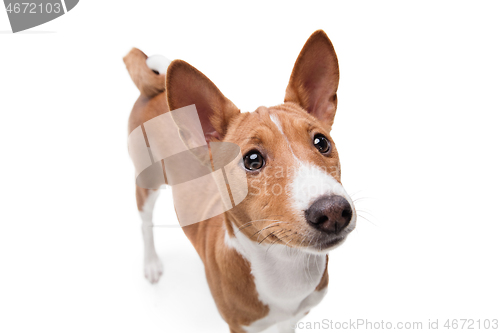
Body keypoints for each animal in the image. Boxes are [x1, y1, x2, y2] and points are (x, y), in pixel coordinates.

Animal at [124, 29, 356, 332]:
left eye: (321, 142)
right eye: (253, 160)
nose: (333, 210)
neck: (286, 267)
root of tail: (155, 90)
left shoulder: (290, 320)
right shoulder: (240, 326)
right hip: (147, 182)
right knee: (145, 223)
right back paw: (151, 263)